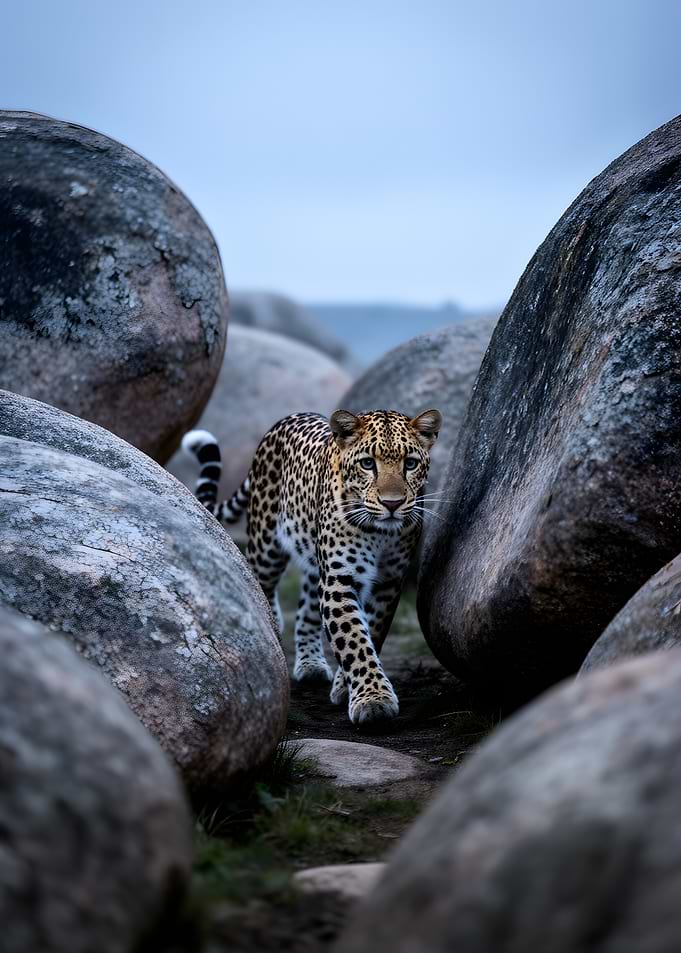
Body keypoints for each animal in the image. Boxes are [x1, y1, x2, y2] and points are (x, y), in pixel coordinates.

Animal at [182, 407, 442, 724]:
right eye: (368, 463)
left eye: (411, 463)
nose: (392, 504)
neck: (381, 534)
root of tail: (288, 418)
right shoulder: (339, 580)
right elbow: (354, 640)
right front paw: (374, 700)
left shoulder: (388, 583)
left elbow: (370, 632)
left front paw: (348, 687)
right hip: (266, 546)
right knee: (260, 584)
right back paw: (274, 627)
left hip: (312, 563)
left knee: (306, 612)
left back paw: (311, 664)